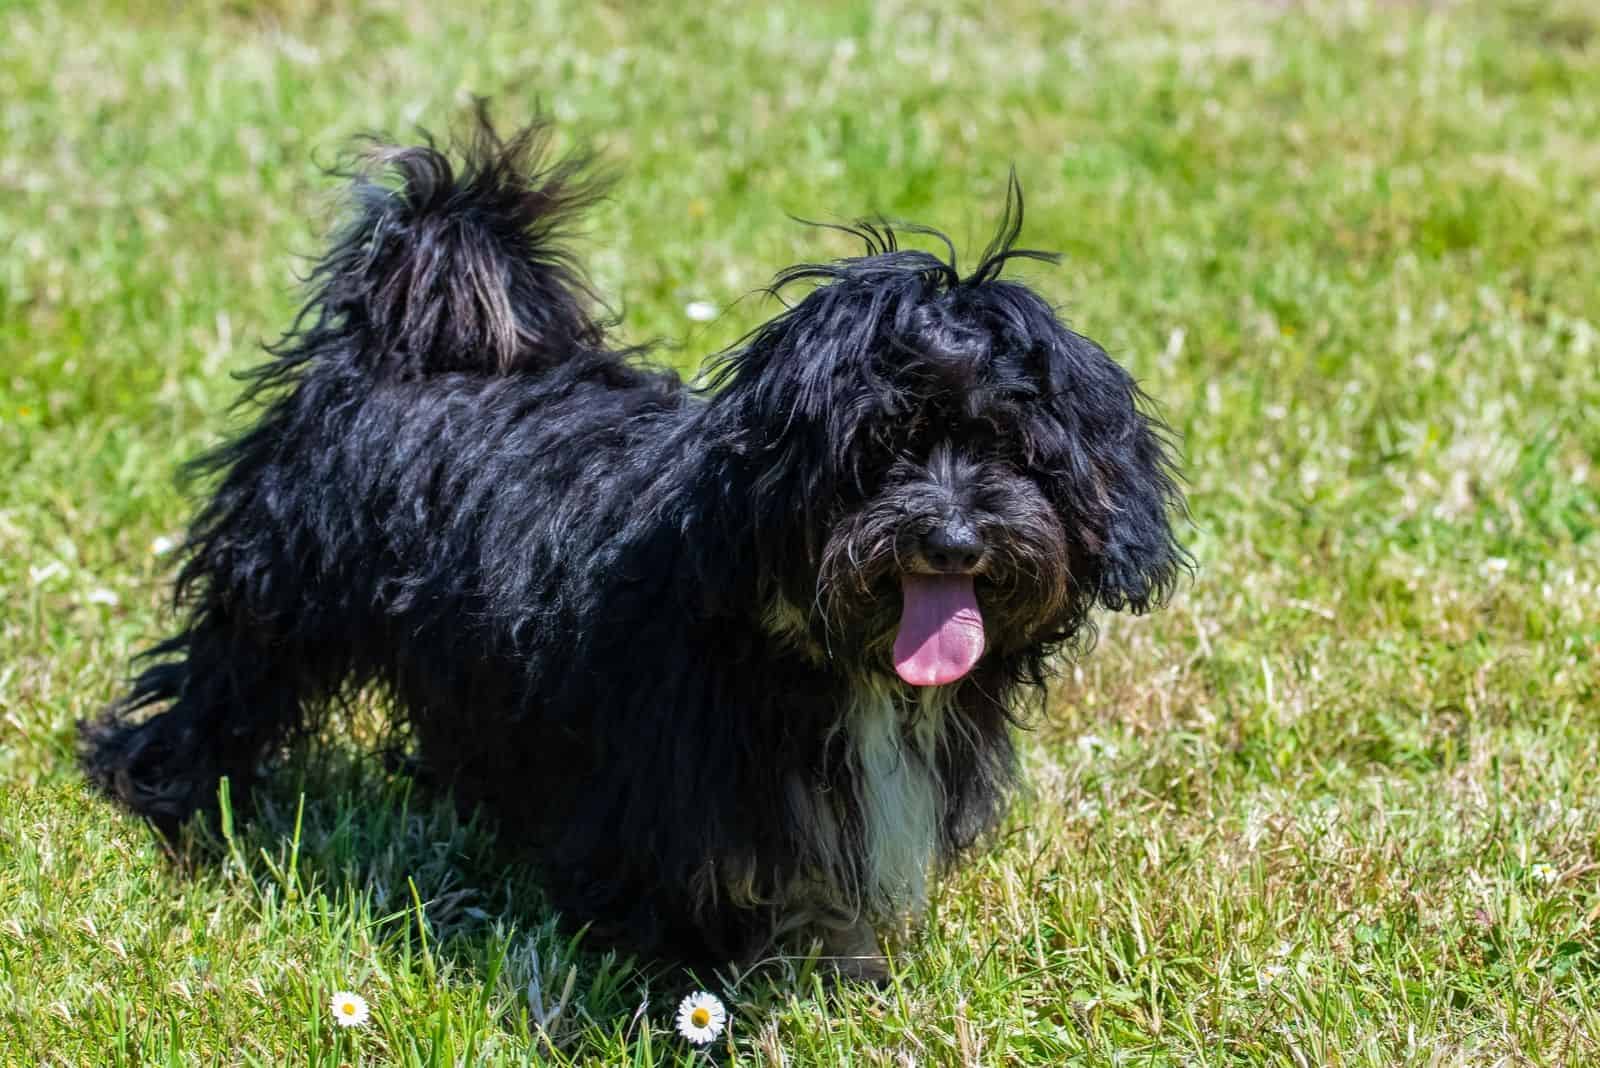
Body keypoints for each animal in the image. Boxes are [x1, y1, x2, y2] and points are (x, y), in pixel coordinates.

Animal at [84, 108, 1190, 978]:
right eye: (880, 448)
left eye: (1011, 447)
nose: (953, 538)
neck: (827, 653)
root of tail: (402, 340)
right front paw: (689, 976)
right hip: (283, 586)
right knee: (225, 678)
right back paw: (166, 790)